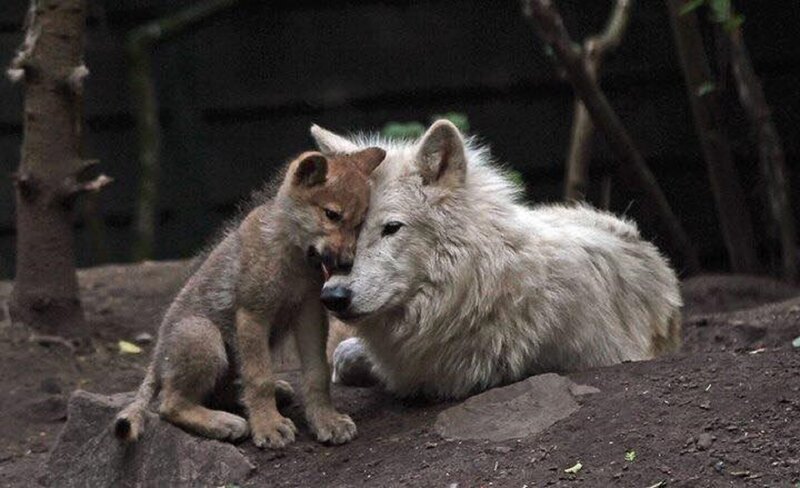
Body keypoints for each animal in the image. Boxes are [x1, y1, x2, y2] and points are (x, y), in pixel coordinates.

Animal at [114, 147, 386, 448]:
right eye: (331, 215)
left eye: (360, 224)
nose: (348, 264)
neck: (291, 257)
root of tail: (156, 358)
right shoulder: (253, 315)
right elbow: (259, 378)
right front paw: (268, 426)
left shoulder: (310, 316)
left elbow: (317, 374)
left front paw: (326, 420)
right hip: (204, 335)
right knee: (170, 404)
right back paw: (224, 422)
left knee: (220, 391)